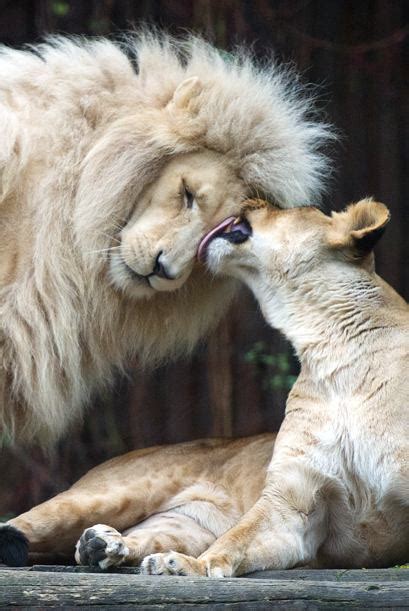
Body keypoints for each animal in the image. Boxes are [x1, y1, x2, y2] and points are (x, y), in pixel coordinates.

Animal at [1, 198, 406, 572]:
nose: (251, 199)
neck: (331, 350)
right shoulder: (292, 501)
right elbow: (234, 541)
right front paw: (191, 567)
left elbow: (234, 543)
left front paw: (180, 565)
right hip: (104, 495)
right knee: (19, 524)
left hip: (182, 525)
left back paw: (104, 547)